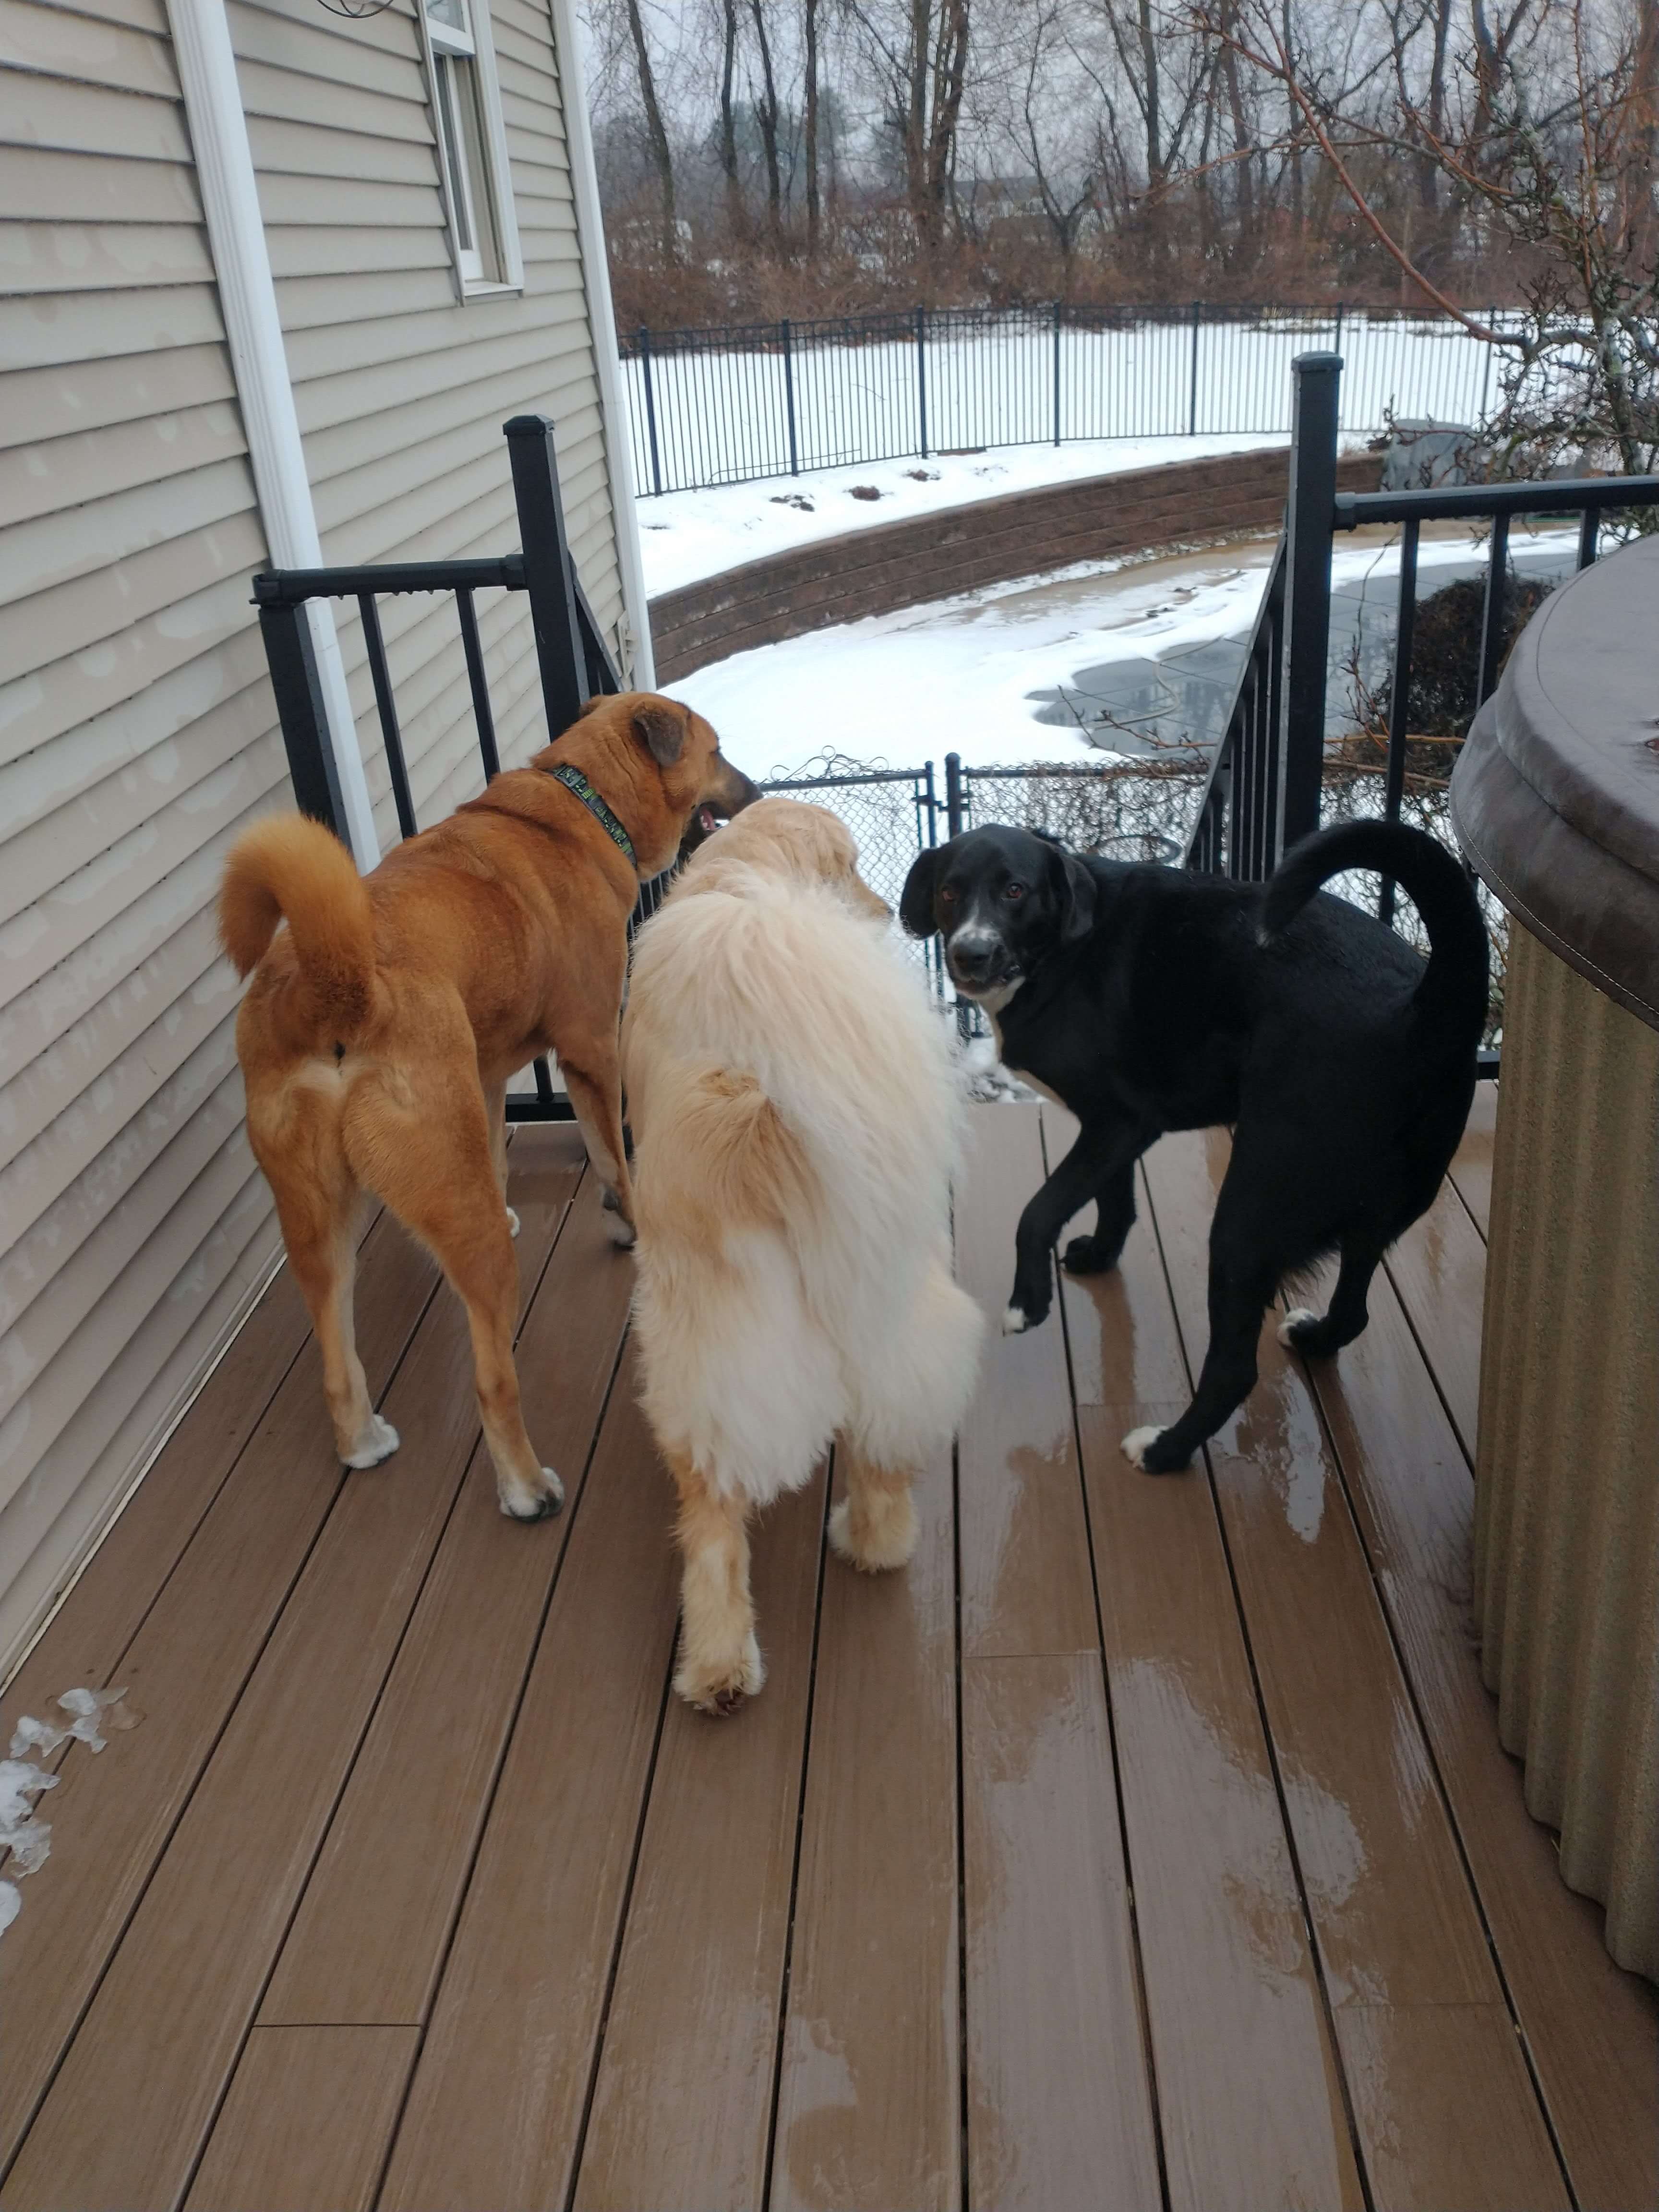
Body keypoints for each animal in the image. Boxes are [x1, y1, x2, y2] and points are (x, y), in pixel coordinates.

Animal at [220, 691, 757, 1521]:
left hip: (315, 1219)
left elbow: (502, 1154)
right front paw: (628, 1221)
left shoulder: (483, 1070)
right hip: (455, 1237)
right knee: (491, 1379)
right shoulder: (591, 1046)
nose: (757, 791)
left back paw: (361, 1441)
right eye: (716, 749)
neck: (585, 799)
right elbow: (613, 1156)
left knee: (336, 1354)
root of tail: (334, 984)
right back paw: (526, 1487)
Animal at [622, 799, 985, 1713]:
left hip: (704, 1359)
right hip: (896, 1307)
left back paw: (718, 1666)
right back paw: (872, 1544)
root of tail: (760, 1115)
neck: (748, 872)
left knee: (713, 1523)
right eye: (850, 866)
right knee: (884, 1445)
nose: (889, 913)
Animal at [900, 817, 1487, 1473]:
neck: (1065, 948)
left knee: (1233, 1371)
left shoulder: (1119, 1122)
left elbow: (1039, 1211)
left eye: (1015, 890)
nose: (969, 953)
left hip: (1246, 1223)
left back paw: (1164, 1449)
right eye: (949, 892)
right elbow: (1114, 1199)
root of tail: (1426, 1009)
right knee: (1355, 1308)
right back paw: (1315, 1338)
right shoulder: (1112, 1130)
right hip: (1372, 1213)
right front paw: (1099, 1255)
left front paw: (1028, 1303)